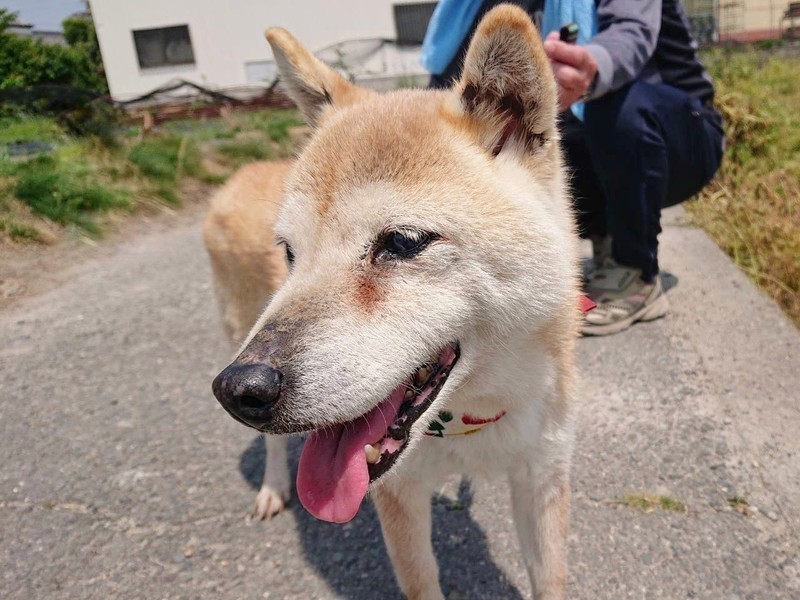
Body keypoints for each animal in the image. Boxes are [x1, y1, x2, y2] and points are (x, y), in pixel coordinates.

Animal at [206, 5, 581, 598]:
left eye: (402, 243)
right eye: (290, 252)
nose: (240, 389)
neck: (473, 419)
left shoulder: (543, 480)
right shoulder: (398, 498)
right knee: (270, 447)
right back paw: (272, 487)